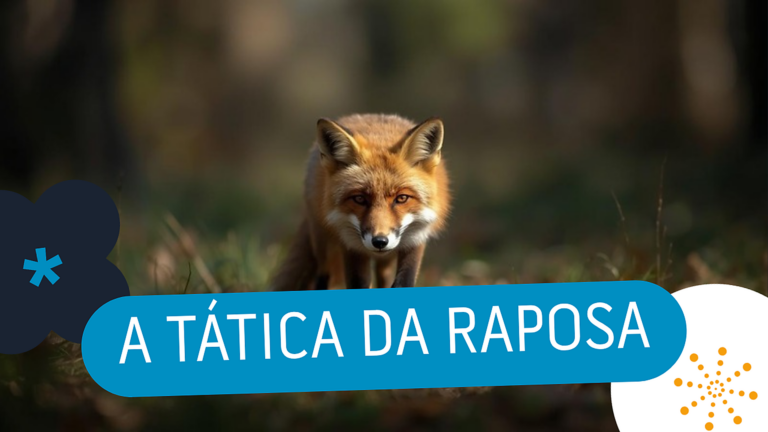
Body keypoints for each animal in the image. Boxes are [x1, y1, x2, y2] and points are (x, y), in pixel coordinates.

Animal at [270, 113, 451, 291]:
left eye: (402, 198)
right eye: (359, 199)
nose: (379, 241)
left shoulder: (416, 239)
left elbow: (403, 283)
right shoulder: (351, 246)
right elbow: (358, 284)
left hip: (386, 260)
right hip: (323, 247)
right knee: (321, 279)